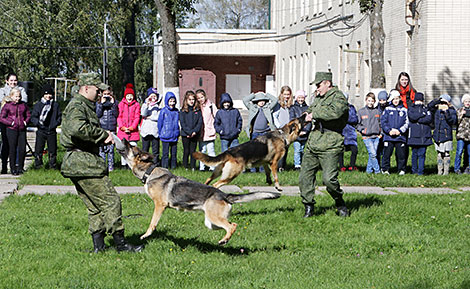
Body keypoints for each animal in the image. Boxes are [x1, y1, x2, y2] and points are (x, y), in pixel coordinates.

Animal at [112, 134, 280, 244]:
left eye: (132, 147)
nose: (124, 138)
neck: (149, 171)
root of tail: (224, 195)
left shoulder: (159, 205)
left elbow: (152, 223)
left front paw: (146, 235)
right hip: (211, 223)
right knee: (228, 225)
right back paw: (224, 239)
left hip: (214, 218)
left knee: (232, 226)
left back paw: (224, 240)